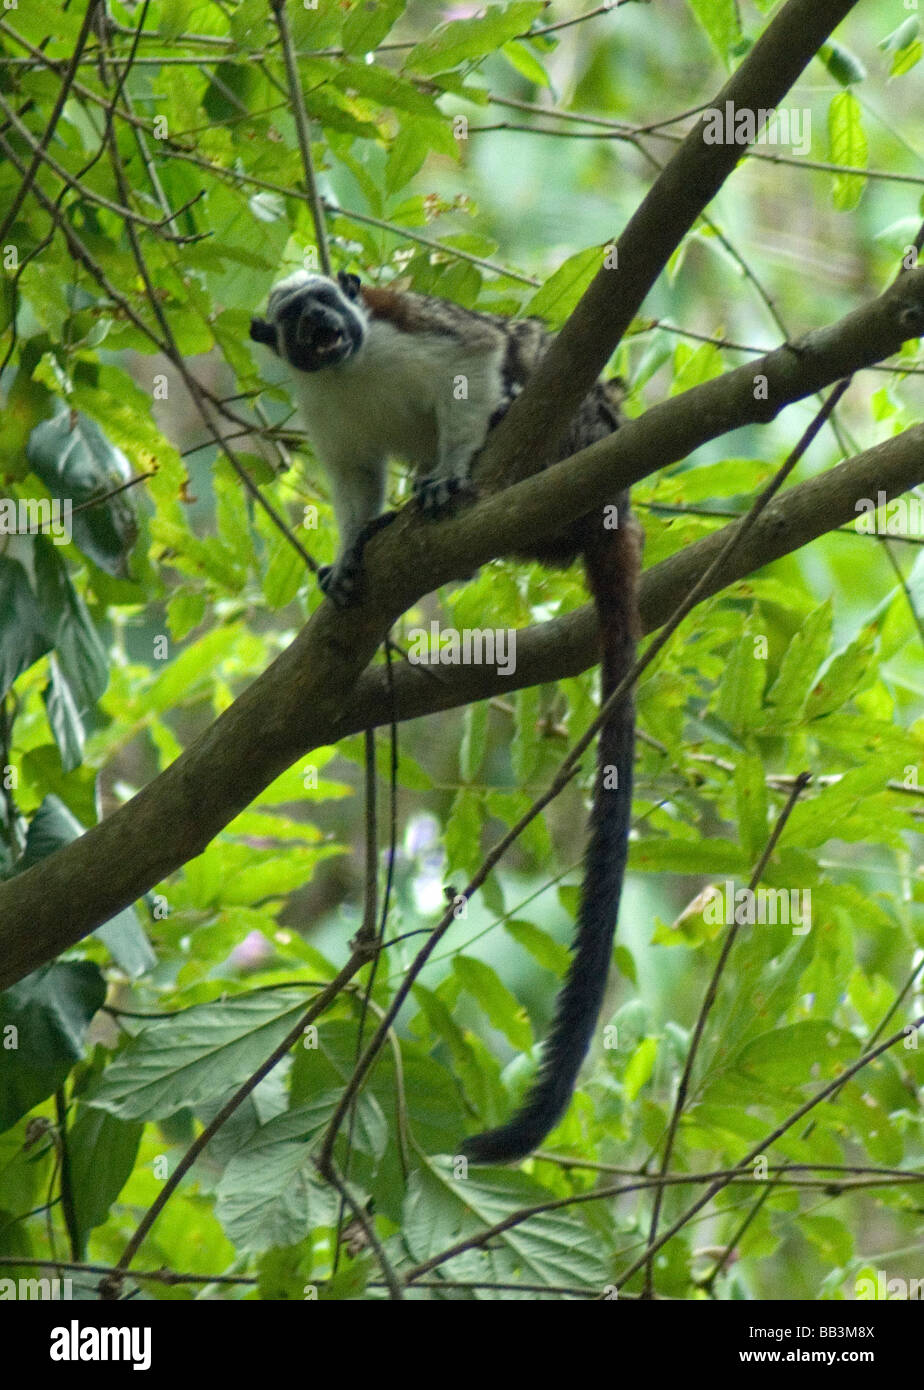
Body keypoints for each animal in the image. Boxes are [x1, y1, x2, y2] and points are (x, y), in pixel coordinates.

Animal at [252, 268, 641, 1162]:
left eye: (327, 300)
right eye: (294, 319)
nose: (322, 321)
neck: (347, 371)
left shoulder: (411, 331)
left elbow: (479, 354)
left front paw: (451, 470)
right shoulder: (322, 412)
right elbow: (355, 479)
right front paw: (354, 549)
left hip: (578, 434)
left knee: (524, 367)